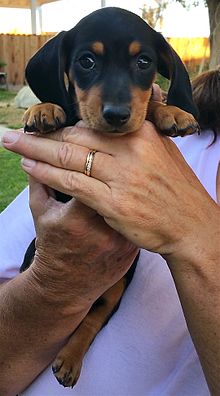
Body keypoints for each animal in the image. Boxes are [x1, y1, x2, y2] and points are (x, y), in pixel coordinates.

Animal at [21, 6, 199, 390]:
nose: (116, 115)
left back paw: (70, 361)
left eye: (144, 62)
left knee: (92, 319)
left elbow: (148, 105)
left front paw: (172, 112)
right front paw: (43, 109)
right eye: (86, 61)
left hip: (118, 286)